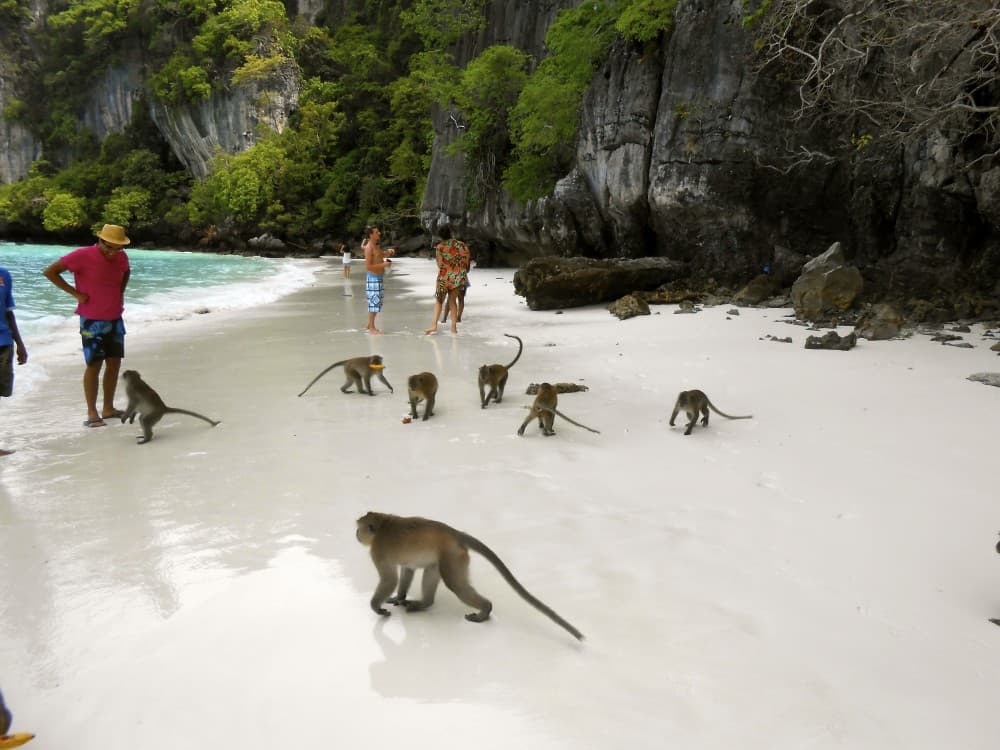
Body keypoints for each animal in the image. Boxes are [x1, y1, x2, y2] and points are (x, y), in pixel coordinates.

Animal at [356, 511, 583, 640]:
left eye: (359, 529)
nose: (356, 534)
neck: (382, 525)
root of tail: (456, 534)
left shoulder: (378, 550)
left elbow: (389, 579)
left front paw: (377, 608)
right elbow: (407, 570)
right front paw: (398, 597)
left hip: (453, 556)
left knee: (456, 585)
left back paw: (485, 610)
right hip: (445, 557)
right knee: (432, 571)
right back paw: (424, 604)